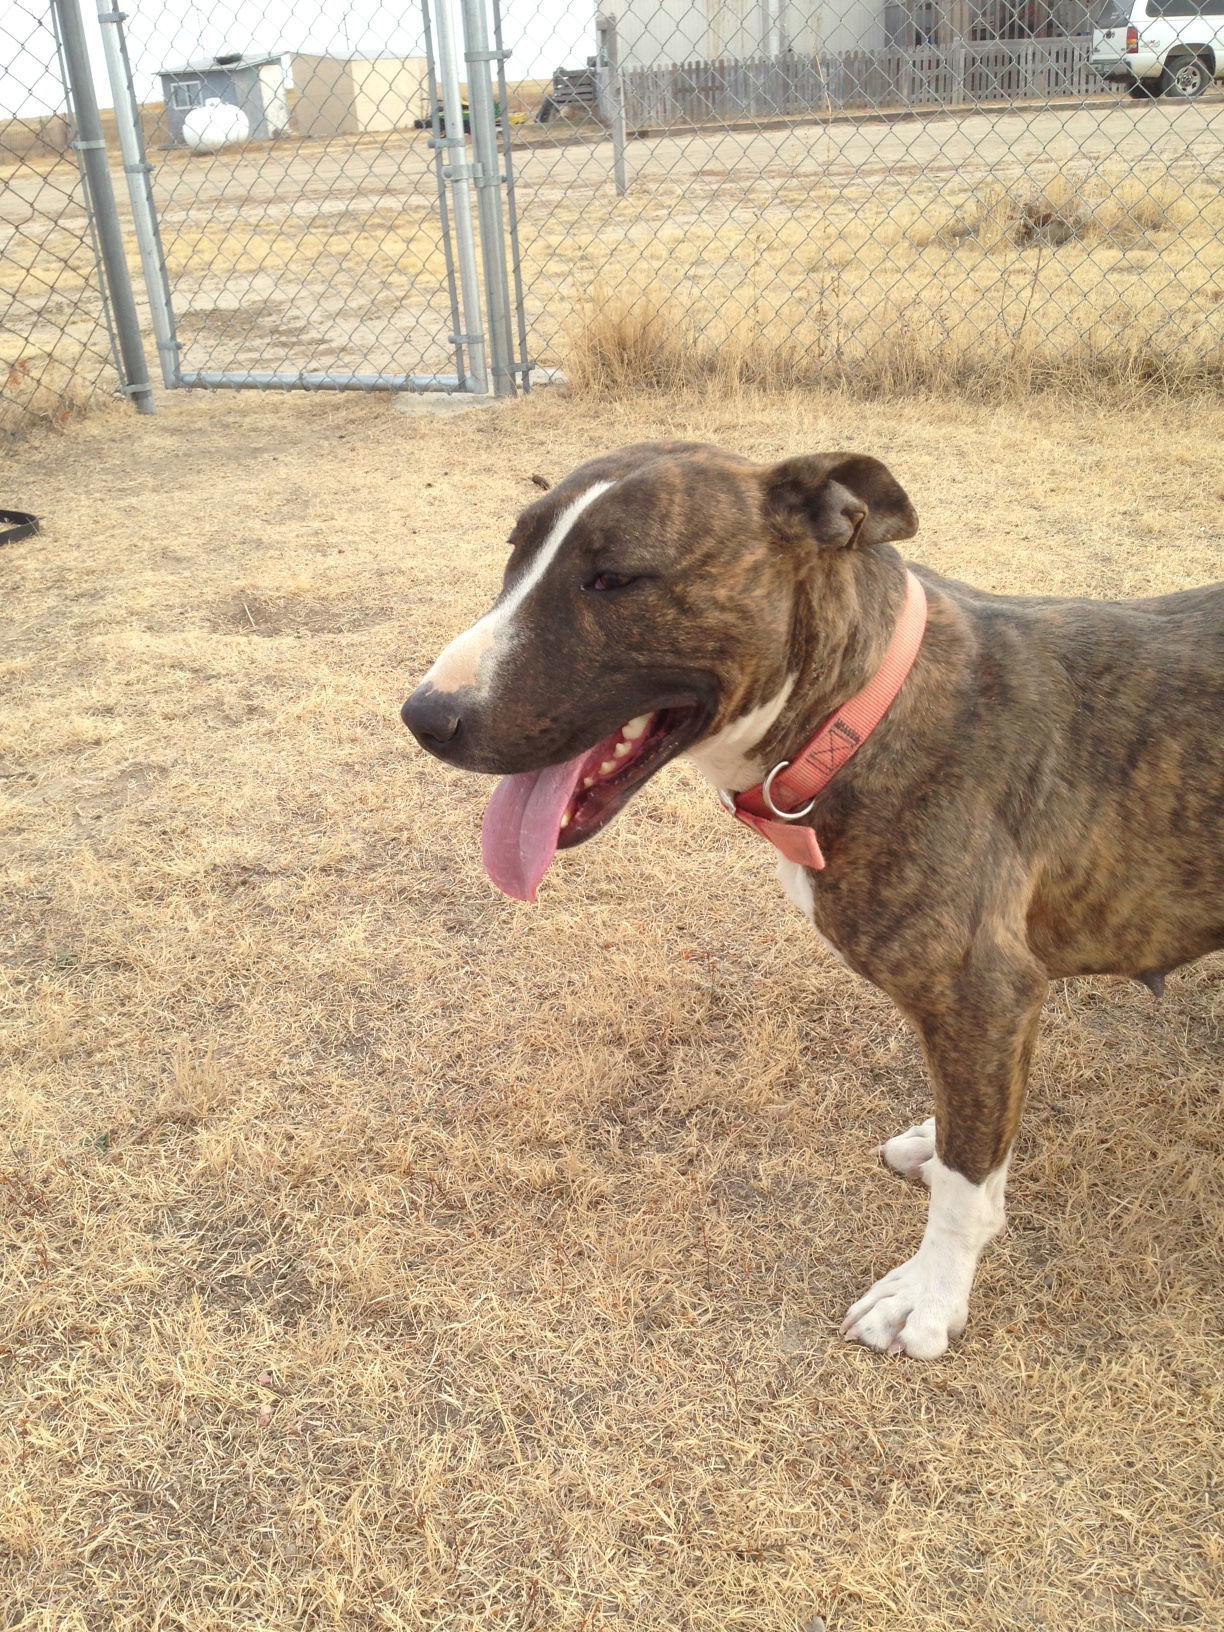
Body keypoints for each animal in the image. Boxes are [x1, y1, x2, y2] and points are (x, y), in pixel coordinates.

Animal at [403, 440, 1224, 1357]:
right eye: (515, 553)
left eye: (612, 579)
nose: (423, 717)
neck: (864, 712)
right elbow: (971, 1139)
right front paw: (944, 1149)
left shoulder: (987, 995)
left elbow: (966, 1188)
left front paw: (930, 1294)